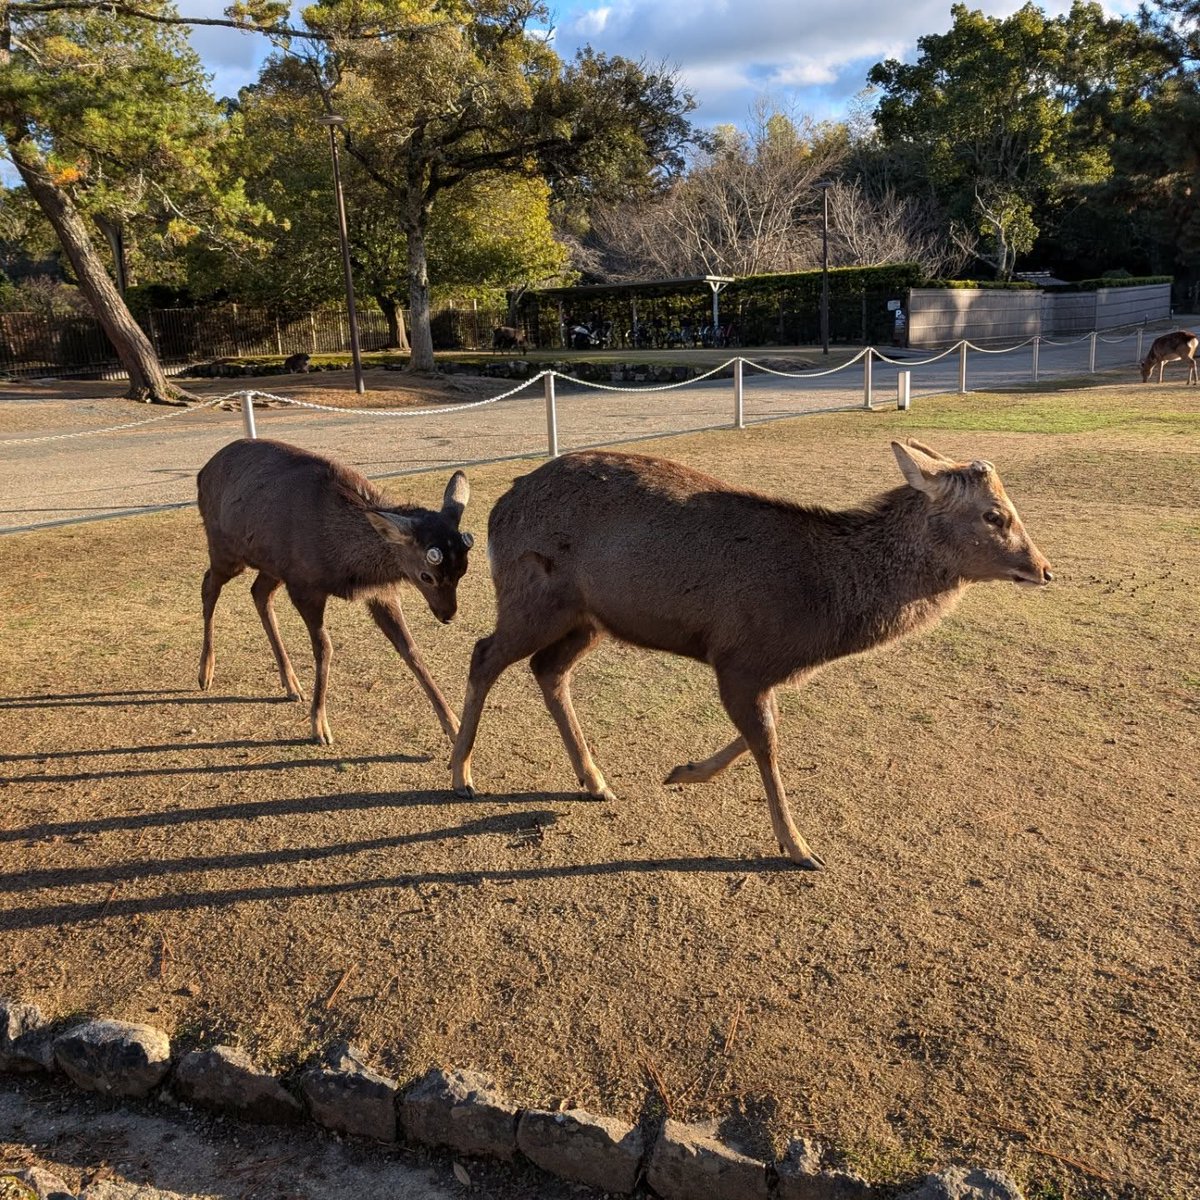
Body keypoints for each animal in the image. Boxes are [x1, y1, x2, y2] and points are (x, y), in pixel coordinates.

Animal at [197, 438, 473, 746]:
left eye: (463, 570)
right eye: (426, 576)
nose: (448, 614)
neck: (347, 564)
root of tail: (202, 472)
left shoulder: (380, 593)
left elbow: (411, 649)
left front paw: (453, 725)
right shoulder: (305, 586)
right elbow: (324, 648)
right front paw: (319, 725)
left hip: (272, 565)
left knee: (259, 593)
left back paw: (291, 683)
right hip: (225, 550)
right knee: (209, 585)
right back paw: (205, 671)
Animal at [449, 441, 1052, 869]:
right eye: (995, 515)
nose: (1045, 569)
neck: (821, 613)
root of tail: (496, 511)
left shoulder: (760, 670)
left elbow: (762, 732)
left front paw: (680, 772)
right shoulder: (738, 658)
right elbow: (768, 742)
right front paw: (799, 847)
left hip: (588, 619)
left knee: (547, 670)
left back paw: (595, 780)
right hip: (533, 599)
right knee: (483, 654)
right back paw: (462, 774)